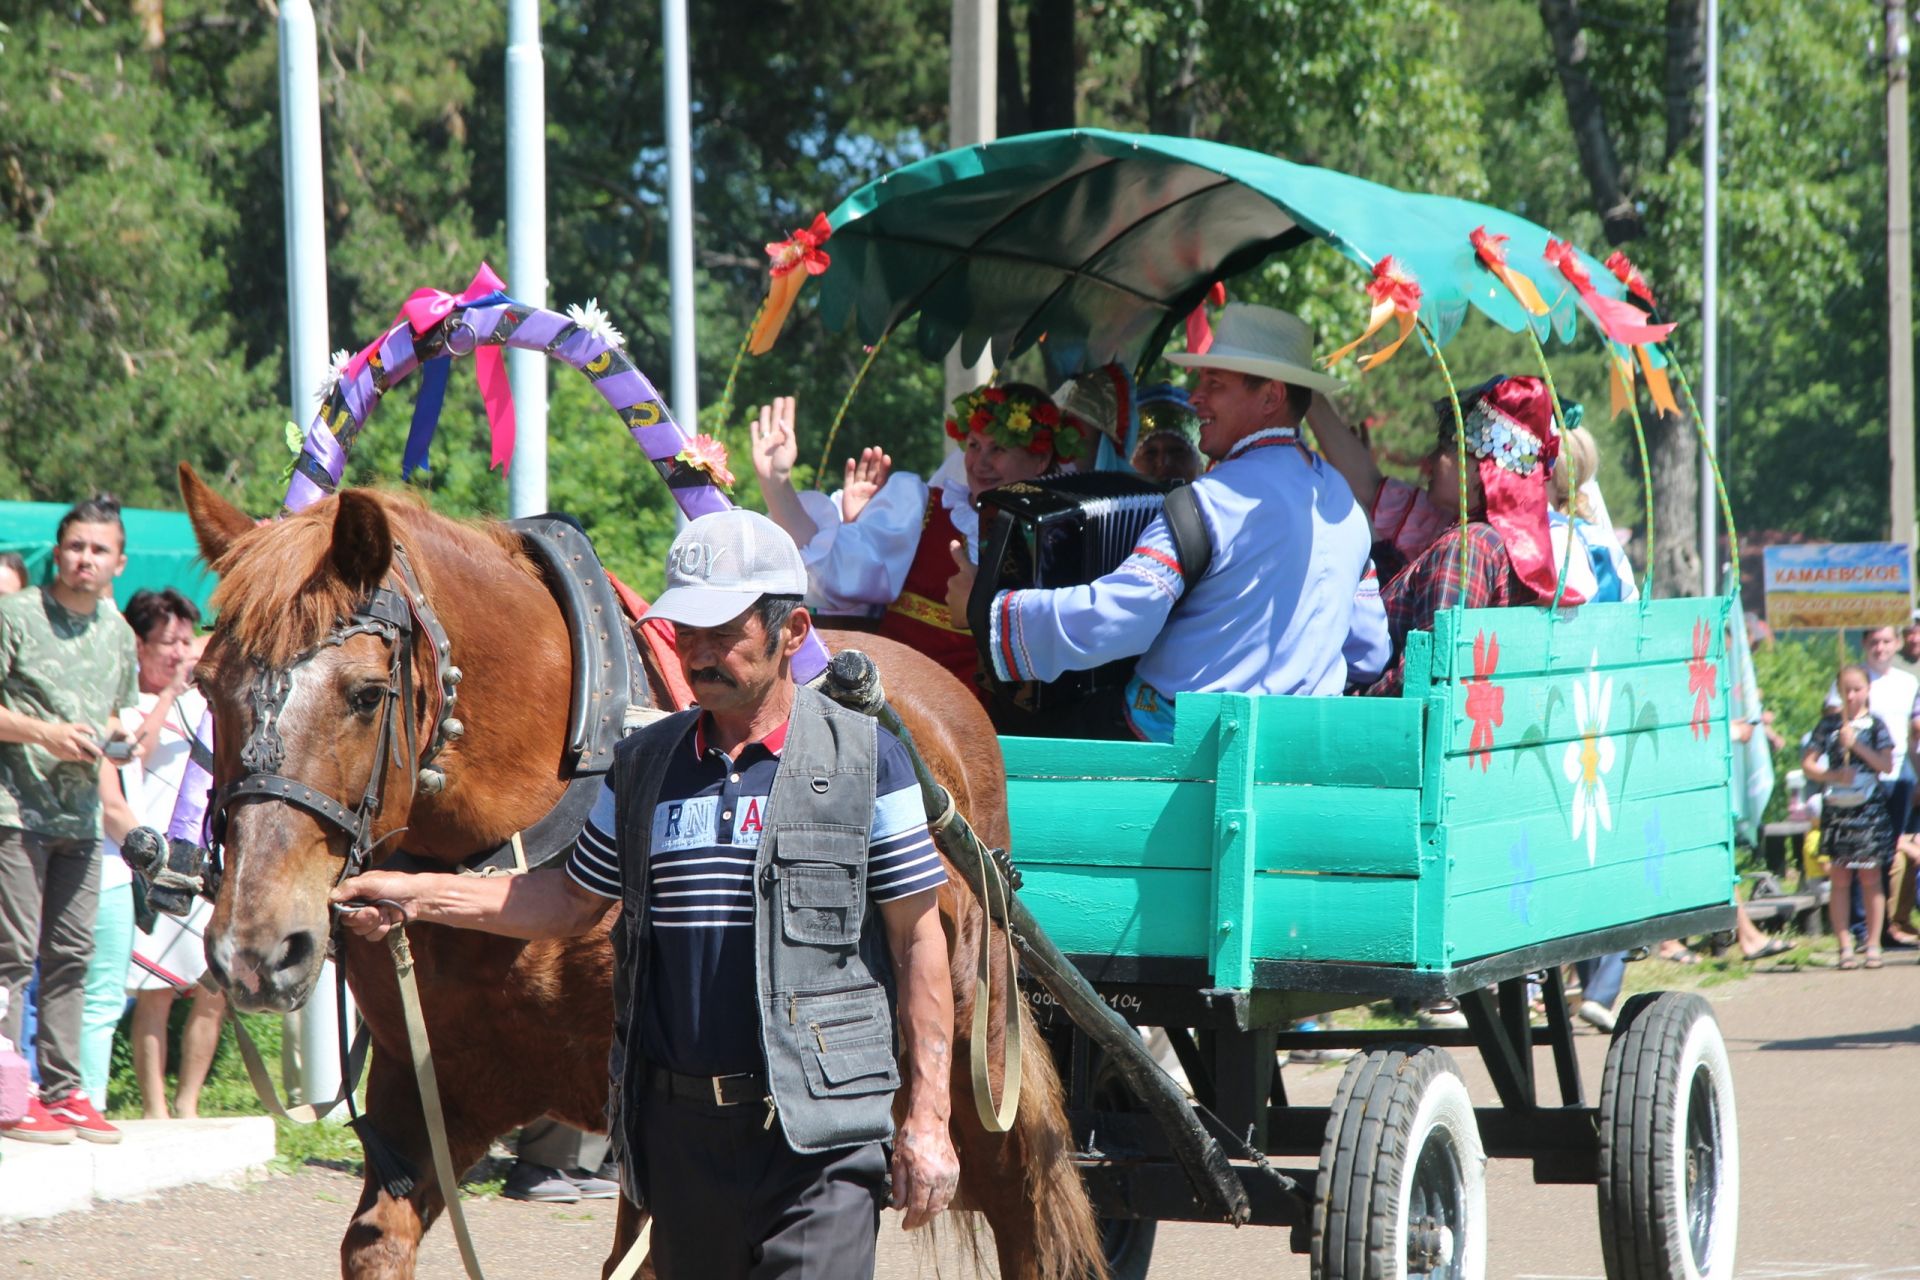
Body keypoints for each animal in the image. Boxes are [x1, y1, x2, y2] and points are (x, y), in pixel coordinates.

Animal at [180, 468, 1113, 1280]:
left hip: (966, 1048)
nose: (253, 949)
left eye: (367, 693)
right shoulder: (429, 1092)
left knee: (1025, 1200)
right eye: (206, 686)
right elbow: (377, 1240)